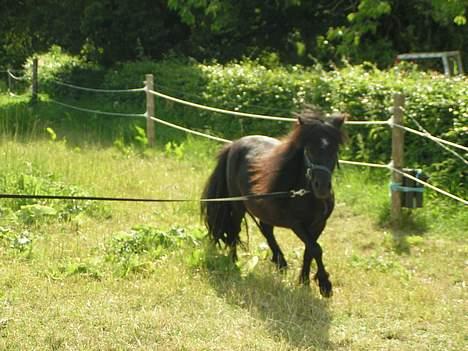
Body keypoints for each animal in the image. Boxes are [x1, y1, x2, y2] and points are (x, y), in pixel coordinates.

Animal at [199, 110, 346, 296]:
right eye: (309, 150)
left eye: (335, 149)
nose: (322, 187)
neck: (307, 195)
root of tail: (233, 144)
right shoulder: (296, 223)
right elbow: (316, 249)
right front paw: (325, 284)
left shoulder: (319, 224)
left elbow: (309, 250)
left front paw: (304, 282)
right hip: (238, 205)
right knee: (234, 231)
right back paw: (234, 263)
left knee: (266, 229)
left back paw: (280, 262)